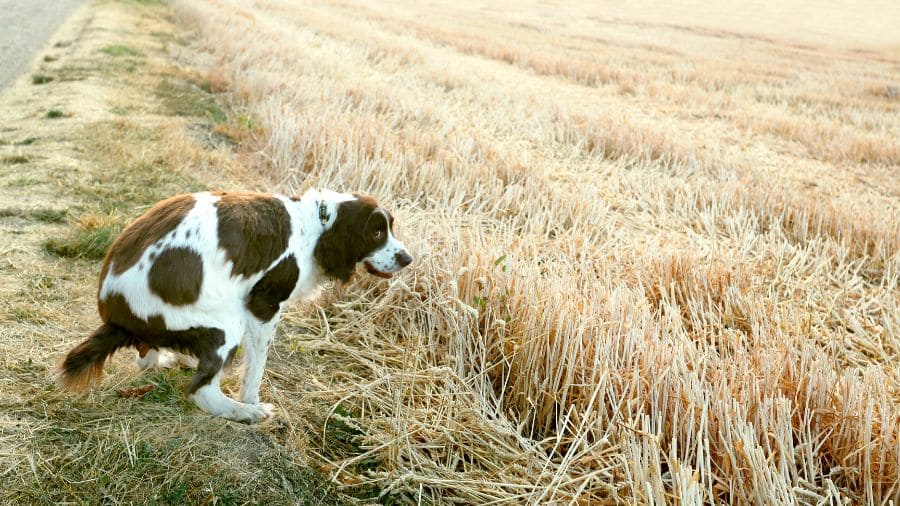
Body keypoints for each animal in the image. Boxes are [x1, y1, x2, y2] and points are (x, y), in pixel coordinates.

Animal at [59, 190, 414, 422]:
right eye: (377, 231)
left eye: (390, 227)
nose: (408, 259)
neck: (317, 225)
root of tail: (116, 315)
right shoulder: (263, 306)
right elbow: (256, 368)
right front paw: (252, 402)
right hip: (228, 322)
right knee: (200, 390)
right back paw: (242, 412)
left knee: (149, 358)